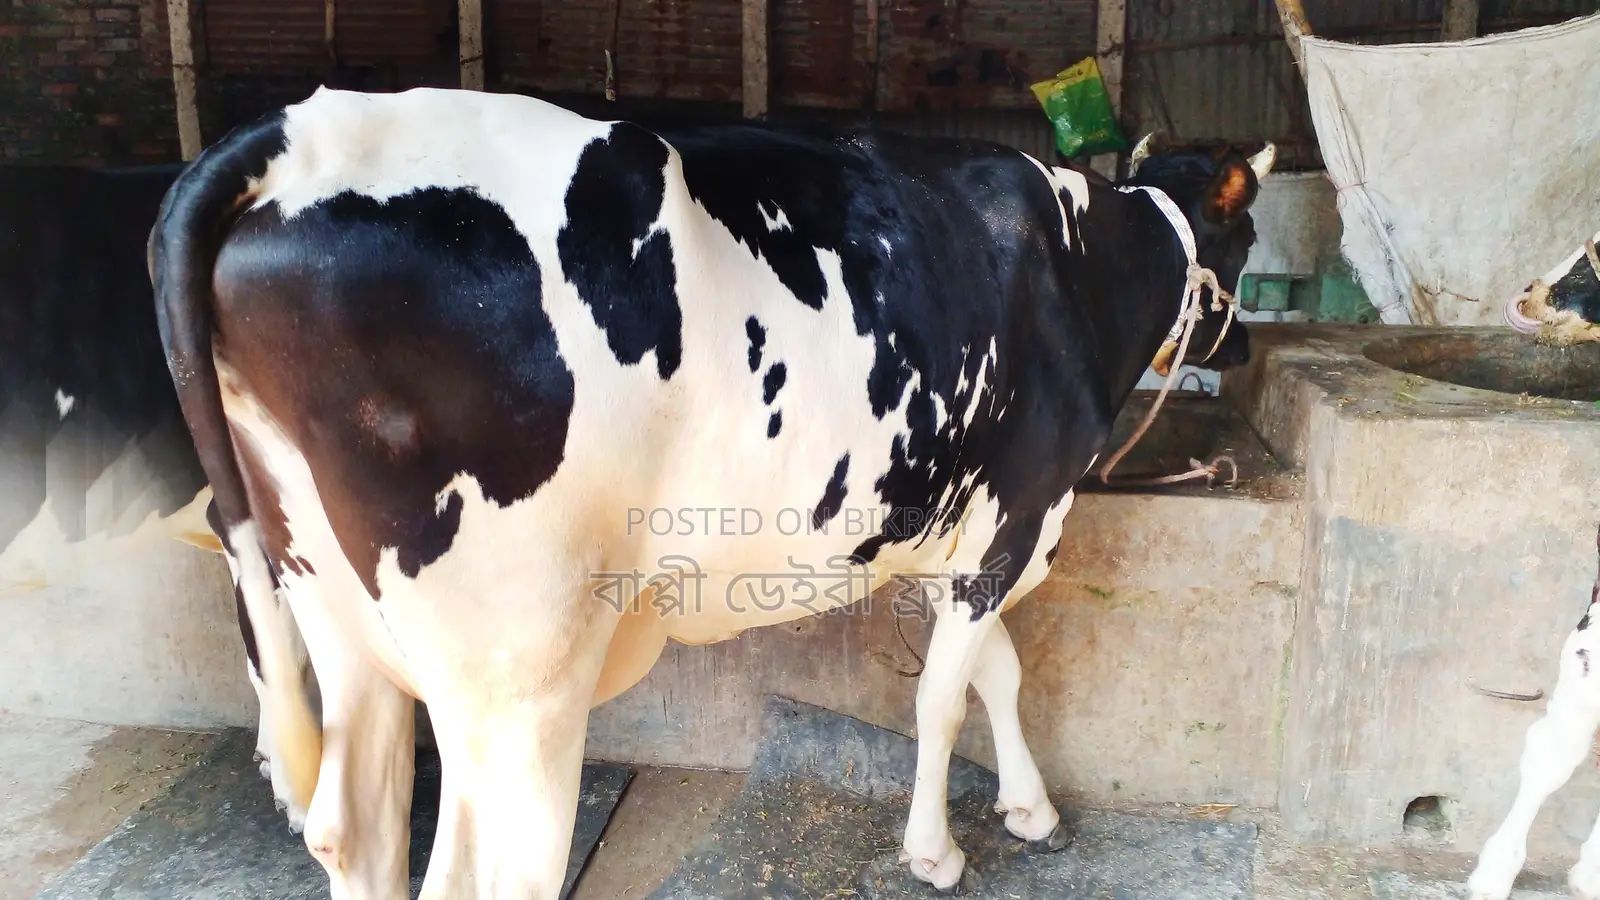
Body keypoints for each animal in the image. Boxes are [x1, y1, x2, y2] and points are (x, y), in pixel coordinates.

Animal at [148, 86, 1272, 898]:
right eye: (1251, 239)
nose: (1249, 349)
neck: (1080, 260)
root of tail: (303, 134)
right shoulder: (1018, 515)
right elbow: (946, 697)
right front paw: (937, 851)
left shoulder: (948, 532)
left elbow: (993, 674)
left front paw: (1030, 810)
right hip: (517, 663)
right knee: (492, 868)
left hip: (326, 589)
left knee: (357, 826)